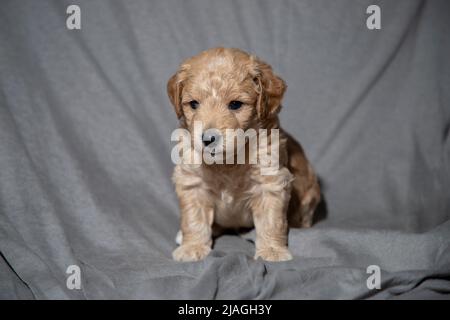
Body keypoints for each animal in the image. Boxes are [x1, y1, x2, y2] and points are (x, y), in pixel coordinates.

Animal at [168, 48, 320, 262]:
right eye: (194, 104)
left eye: (235, 105)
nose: (207, 139)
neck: (228, 161)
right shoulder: (192, 182)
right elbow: (194, 218)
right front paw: (193, 246)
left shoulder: (270, 182)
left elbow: (271, 220)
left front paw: (272, 250)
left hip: (310, 194)